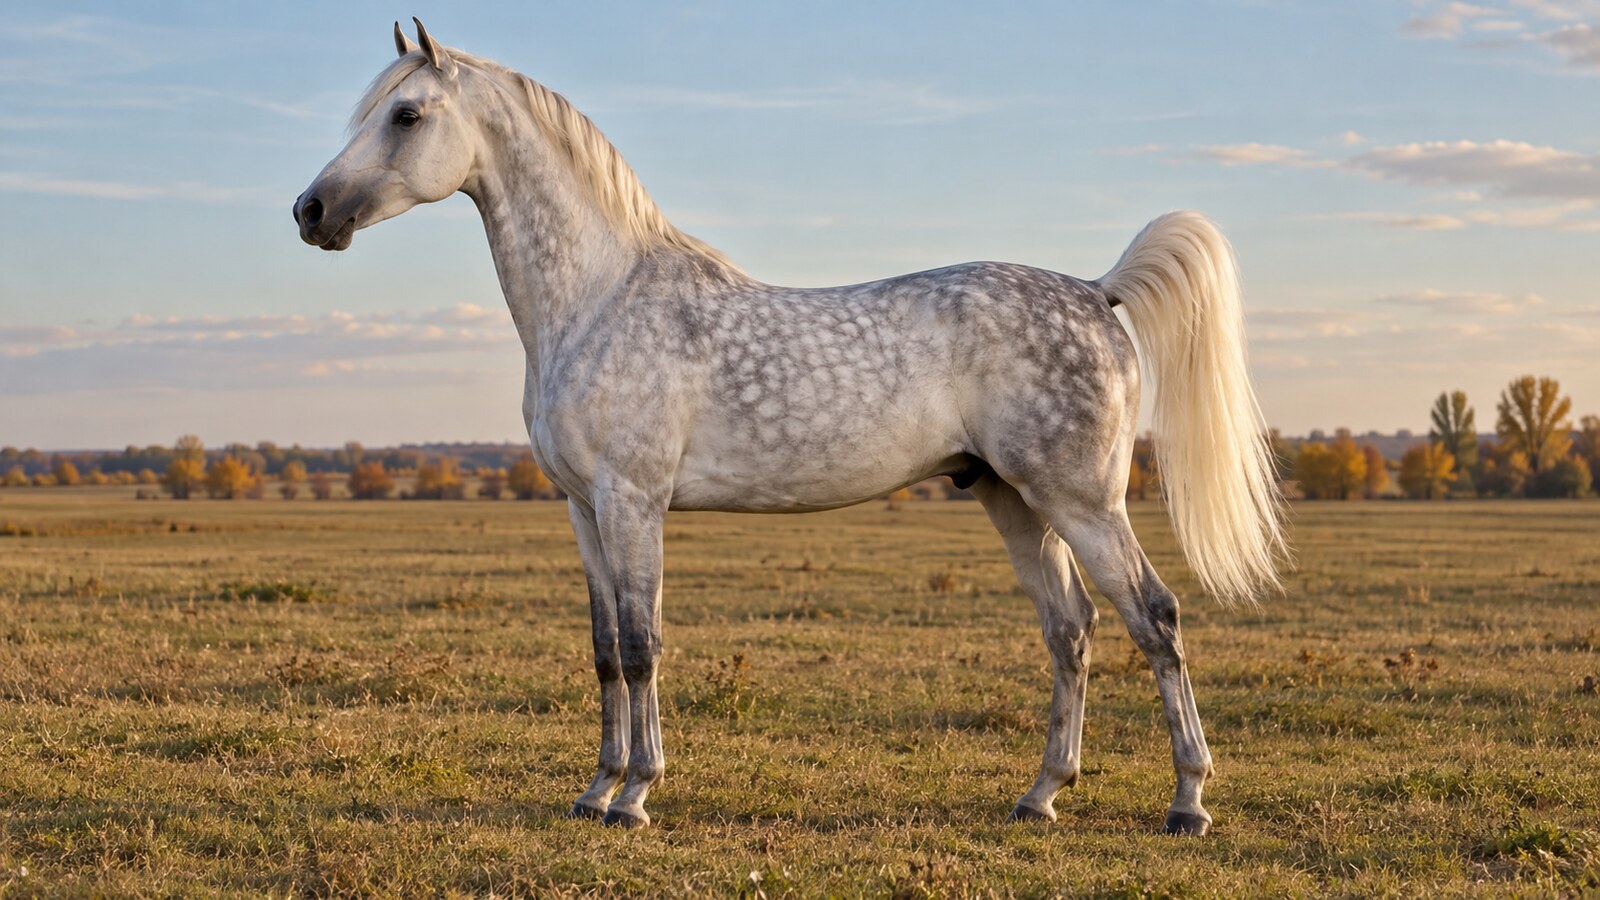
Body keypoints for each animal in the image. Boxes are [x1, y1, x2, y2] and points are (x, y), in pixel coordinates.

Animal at [294, 19, 1288, 834]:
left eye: (407, 115)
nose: (312, 212)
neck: (600, 298)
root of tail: (1094, 289)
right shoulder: (582, 509)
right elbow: (607, 650)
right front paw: (595, 787)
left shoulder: (633, 502)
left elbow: (644, 644)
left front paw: (637, 793)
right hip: (1013, 499)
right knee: (1070, 630)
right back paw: (1040, 795)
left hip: (1083, 501)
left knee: (1154, 618)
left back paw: (1188, 802)